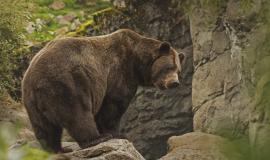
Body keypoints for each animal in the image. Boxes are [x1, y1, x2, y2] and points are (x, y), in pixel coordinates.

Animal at [22, 28, 185, 152]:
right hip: (67, 83)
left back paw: (57, 149)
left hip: (31, 99)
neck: (137, 62)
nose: (174, 83)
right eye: (169, 67)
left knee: (45, 127)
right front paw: (117, 133)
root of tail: (35, 77)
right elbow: (113, 105)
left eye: (178, 69)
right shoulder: (118, 72)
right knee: (77, 112)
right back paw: (95, 139)